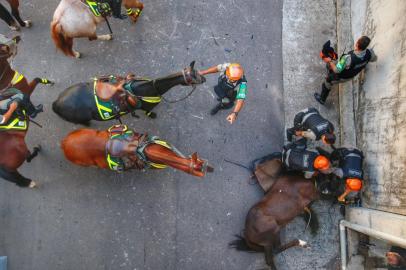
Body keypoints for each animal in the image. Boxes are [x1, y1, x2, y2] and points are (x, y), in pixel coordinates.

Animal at [0, 35, 53, 188]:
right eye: (4, 46)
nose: (17, 37)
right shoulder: (27, 91)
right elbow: (36, 79)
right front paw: (49, 81)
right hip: (21, 151)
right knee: (29, 157)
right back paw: (37, 150)